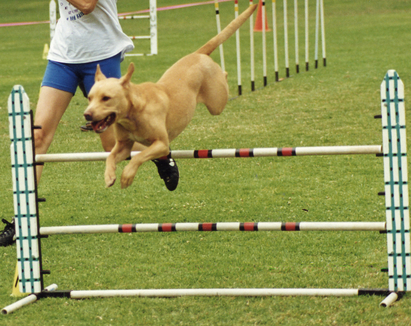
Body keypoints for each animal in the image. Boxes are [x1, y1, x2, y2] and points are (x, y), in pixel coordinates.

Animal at [84, 3, 258, 188]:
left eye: (106, 98)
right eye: (89, 98)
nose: (87, 114)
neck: (134, 111)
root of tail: (199, 54)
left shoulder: (162, 144)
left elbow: (138, 157)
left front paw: (127, 176)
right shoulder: (124, 146)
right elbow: (110, 156)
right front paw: (109, 175)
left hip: (216, 103)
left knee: (222, 82)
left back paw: (226, 75)